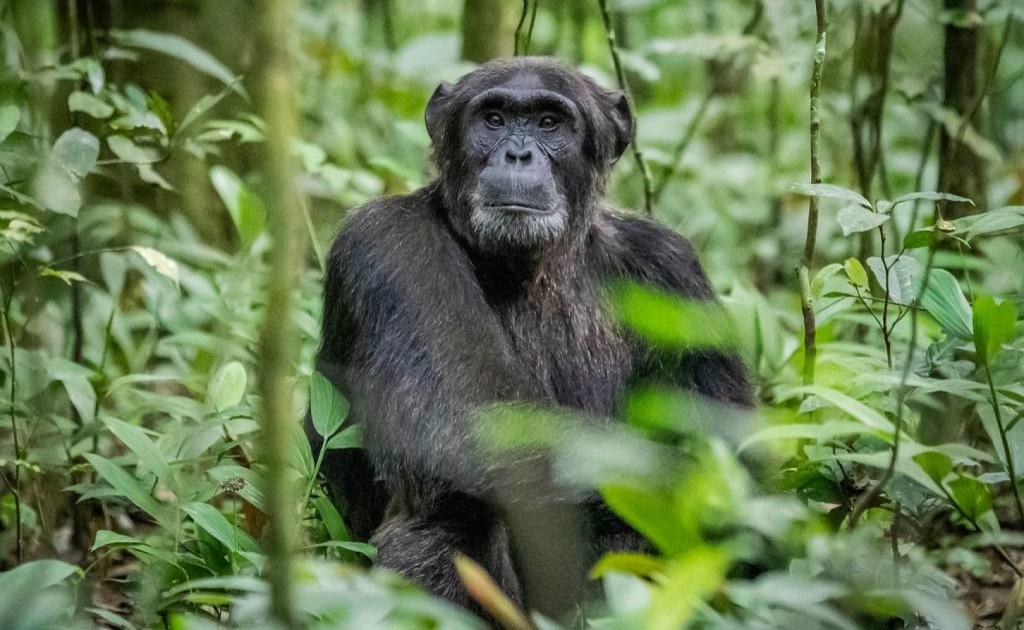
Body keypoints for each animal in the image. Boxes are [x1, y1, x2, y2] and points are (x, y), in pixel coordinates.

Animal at [307, 56, 749, 618]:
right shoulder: (387, 245)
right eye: (494, 119)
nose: (518, 154)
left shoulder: (674, 272)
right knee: (445, 521)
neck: (530, 268)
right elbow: (475, 423)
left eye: (549, 123)